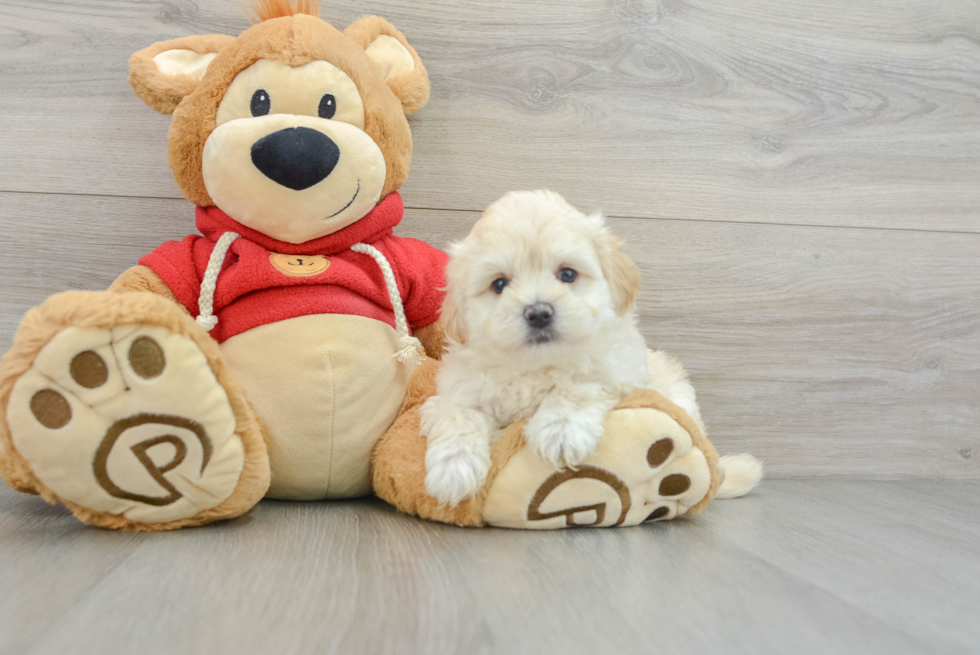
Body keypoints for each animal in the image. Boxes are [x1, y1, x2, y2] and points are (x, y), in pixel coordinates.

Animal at [418, 190, 700, 508]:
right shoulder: (462, 384)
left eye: (567, 274)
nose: (539, 312)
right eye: (499, 284)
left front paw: (561, 430)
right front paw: (453, 468)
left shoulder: (617, 368)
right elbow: (459, 414)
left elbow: (578, 384)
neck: (537, 365)